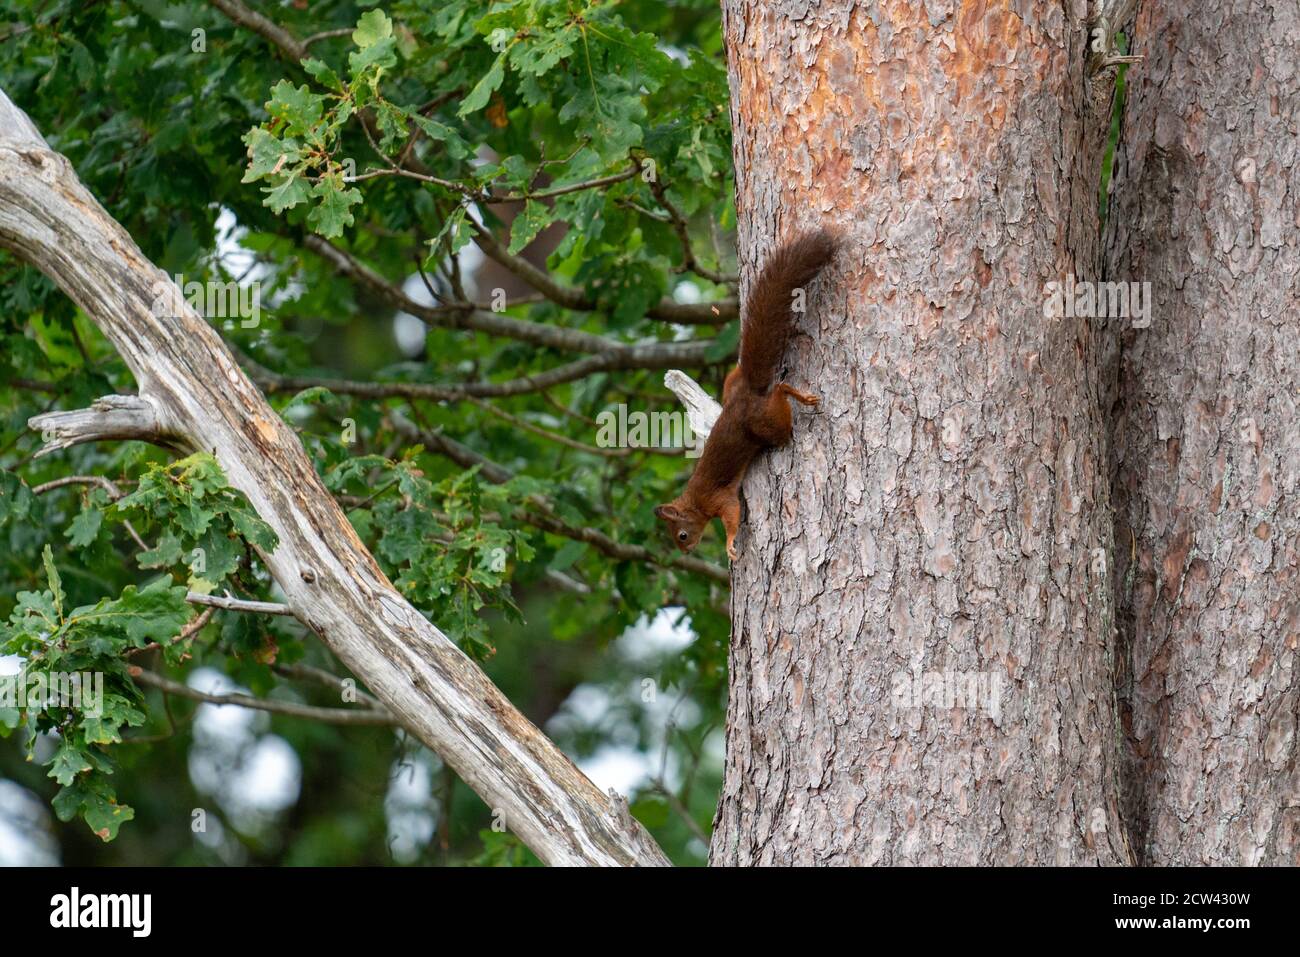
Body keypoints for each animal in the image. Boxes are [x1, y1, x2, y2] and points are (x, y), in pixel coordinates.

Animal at [655, 231, 837, 561]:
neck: (694, 502)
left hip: (768, 423)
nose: (686, 553)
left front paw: (729, 544)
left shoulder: (717, 498)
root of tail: (745, 395)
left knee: (780, 393)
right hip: (733, 383)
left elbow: (731, 515)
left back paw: (801, 398)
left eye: (682, 535)